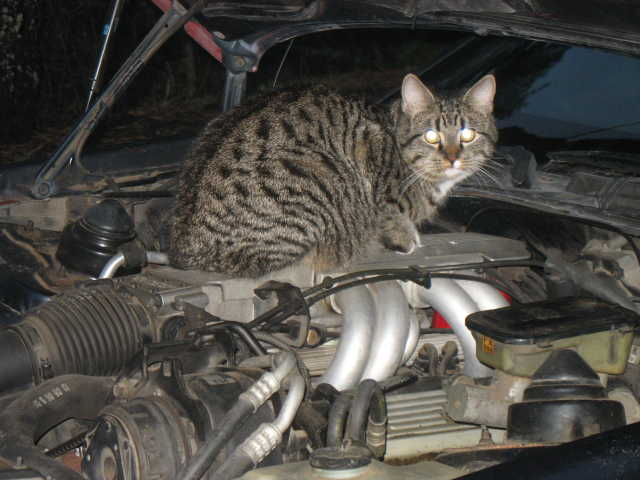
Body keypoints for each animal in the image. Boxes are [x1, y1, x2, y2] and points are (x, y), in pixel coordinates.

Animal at [169, 74, 497, 277]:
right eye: (431, 136)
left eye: (467, 135)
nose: (453, 158)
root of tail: (186, 249)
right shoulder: (370, 154)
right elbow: (389, 213)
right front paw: (404, 240)